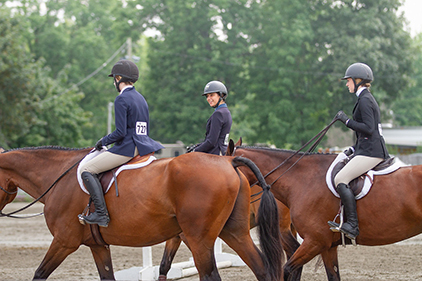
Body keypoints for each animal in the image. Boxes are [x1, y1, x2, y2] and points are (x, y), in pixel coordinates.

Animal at [0, 145, 284, 278]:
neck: (59, 177)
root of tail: (229, 161)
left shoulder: (63, 241)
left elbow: (39, 274)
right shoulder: (98, 245)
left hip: (200, 240)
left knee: (211, 275)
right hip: (234, 233)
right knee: (263, 269)